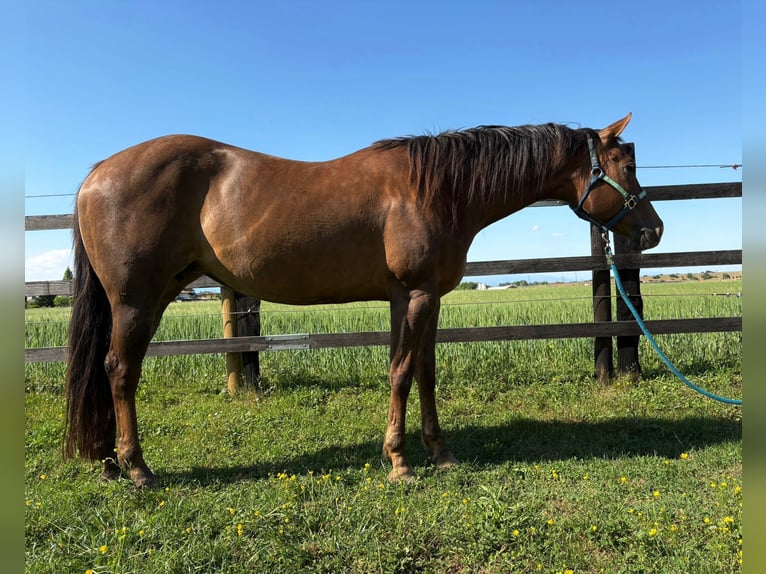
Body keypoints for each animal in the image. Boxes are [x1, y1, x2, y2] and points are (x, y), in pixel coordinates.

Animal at [64, 113, 663, 487]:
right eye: (626, 166)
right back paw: (136, 468)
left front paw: (440, 453)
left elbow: (423, 371)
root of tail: (96, 174)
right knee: (119, 370)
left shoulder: (417, 298)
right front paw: (399, 461)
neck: (435, 189)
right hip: (137, 301)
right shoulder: (416, 294)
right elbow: (400, 372)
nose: (653, 230)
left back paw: (111, 464)